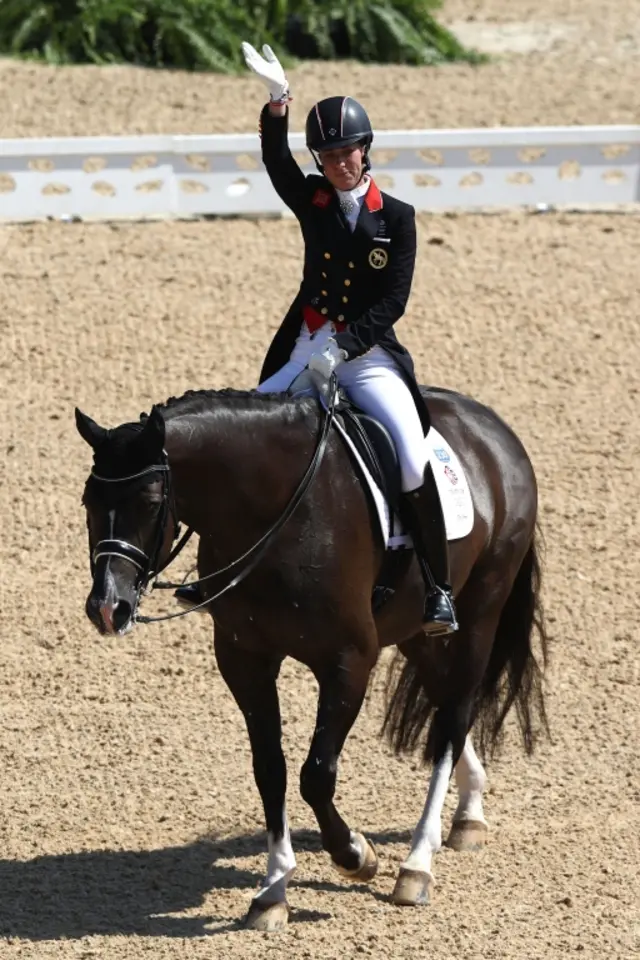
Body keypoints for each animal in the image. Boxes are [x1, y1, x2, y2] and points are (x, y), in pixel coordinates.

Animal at [76, 382, 552, 928]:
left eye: (151, 501)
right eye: (89, 500)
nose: (107, 607)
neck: (274, 513)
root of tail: (492, 426)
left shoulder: (349, 660)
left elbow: (316, 774)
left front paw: (356, 855)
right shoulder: (243, 657)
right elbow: (271, 770)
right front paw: (272, 891)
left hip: (480, 610)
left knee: (454, 715)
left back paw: (416, 865)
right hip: (415, 630)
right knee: (444, 701)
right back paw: (469, 812)